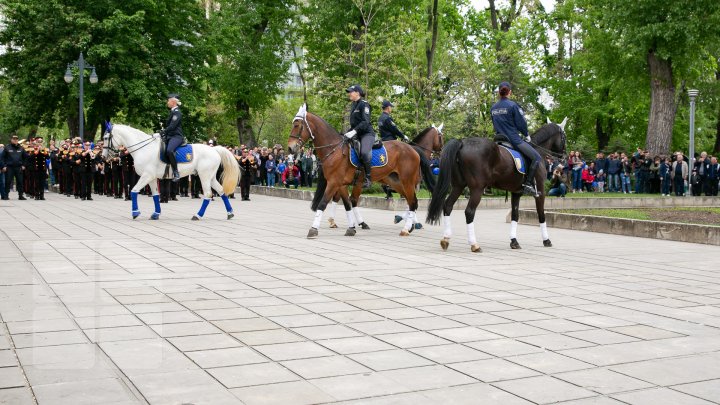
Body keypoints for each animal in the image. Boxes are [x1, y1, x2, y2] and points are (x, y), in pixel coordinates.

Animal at [101, 123, 239, 219]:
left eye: (106, 137)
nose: (103, 157)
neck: (144, 148)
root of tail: (214, 149)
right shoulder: (151, 177)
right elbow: (155, 195)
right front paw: (156, 214)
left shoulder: (146, 176)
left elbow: (134, 191)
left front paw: (135, 212)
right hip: (211, 177)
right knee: (221, 191)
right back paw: (230, 213)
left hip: (204, 176)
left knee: (208, 194)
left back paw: (198, 215)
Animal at [286, 103, 422, 237]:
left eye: (297, 125)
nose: (290, 148)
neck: (334, 149)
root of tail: (412, 149)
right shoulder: (340, 185)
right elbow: (347, 205)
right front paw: (351, 228)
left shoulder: (333, 183)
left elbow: (323, 203)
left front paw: (313, 228)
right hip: (395, 181)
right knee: (411, 201)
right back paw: (409, 226)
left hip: (407, 181)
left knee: (412, 202)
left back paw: (406, 228)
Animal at [424, 120, 564, 251]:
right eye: (564, 136)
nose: (563, 156)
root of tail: (462, 143)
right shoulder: (540, 192)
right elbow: (541, 214)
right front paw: (546, 240)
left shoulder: (516, 193)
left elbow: (515, 215)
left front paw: (514, 241)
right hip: (477, 189)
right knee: (469, 212)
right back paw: (474, 244)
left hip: (458, 186)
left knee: (448, 206)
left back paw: (446, 239)